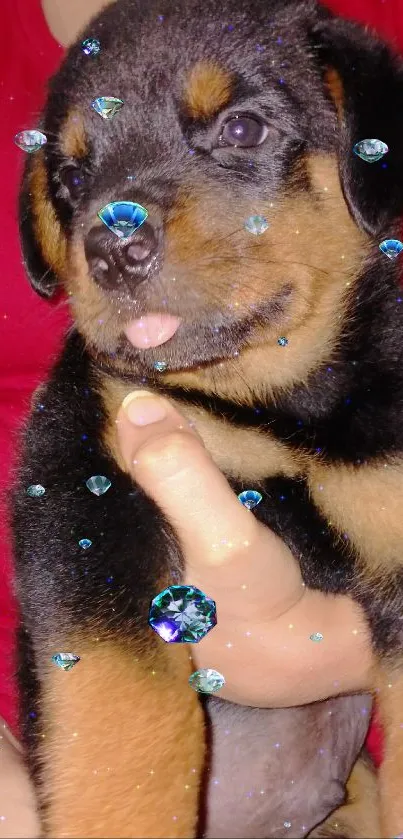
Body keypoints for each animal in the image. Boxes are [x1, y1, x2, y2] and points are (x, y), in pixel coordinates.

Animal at [10, 0, 403, 836]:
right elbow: (121, 712)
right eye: (71, 177)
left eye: (242, 128)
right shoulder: (82, 474)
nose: (111, 245)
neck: (270, 406)